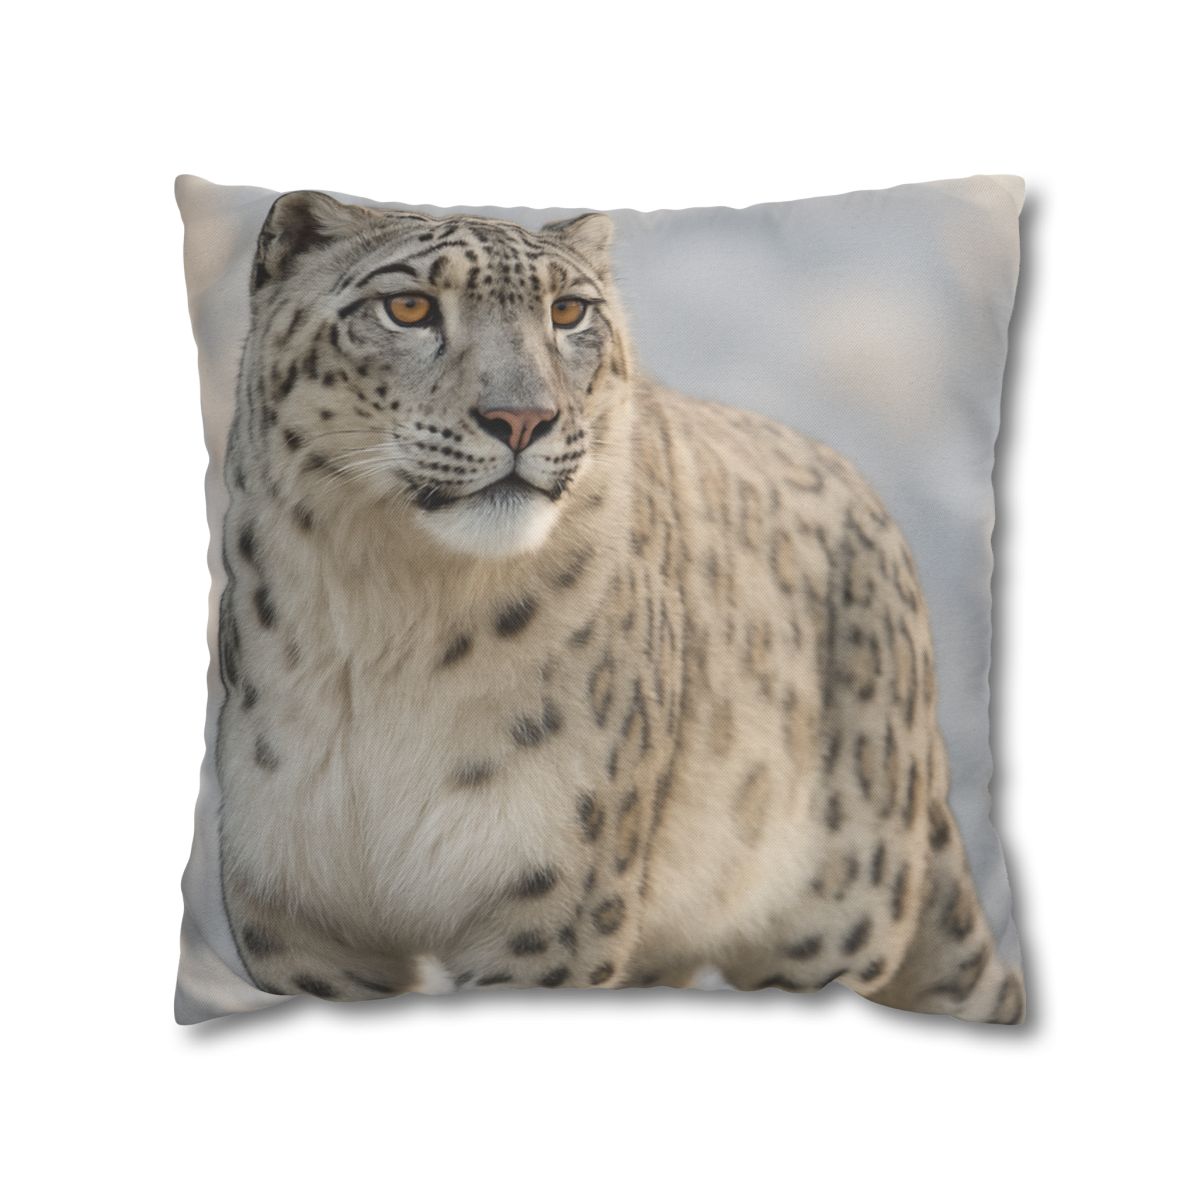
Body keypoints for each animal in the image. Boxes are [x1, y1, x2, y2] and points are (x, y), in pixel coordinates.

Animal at [213, 190, 1024, 1024]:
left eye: (569, 311)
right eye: (408, 307)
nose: (522, 418)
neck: (392, 618)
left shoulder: (550, 907)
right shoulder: (300, 919)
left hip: (830, 921)